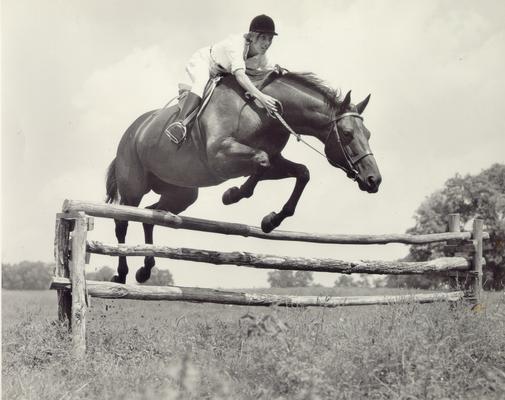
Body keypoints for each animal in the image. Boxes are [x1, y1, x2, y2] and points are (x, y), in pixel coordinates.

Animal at [104, 72, 380, 284]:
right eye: (347, 133)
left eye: (368, 133)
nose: (374, 180)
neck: (261, 112)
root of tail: (133, 131)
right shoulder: (221, 157)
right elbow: (261, 162)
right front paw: (233, 195)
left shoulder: (274, 160)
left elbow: (301, 172)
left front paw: (270, 221)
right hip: (133, 189)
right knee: (123, 222)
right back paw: (121, 274)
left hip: (181, 193)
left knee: (151, 216)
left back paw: (145, 269)